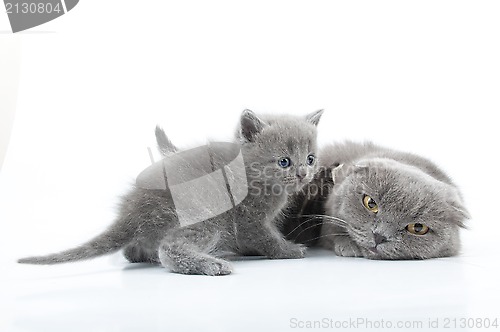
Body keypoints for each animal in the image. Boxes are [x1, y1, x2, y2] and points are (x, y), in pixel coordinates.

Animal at [18, 109, 324, 274]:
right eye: (284, 161)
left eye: (310, 158)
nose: (303, 173)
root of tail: (132, 209)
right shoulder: (248, 218)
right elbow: (265, 238)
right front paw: (289, 250)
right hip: (205, 216)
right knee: (169, 249)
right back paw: (212, 265)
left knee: (135, 251)